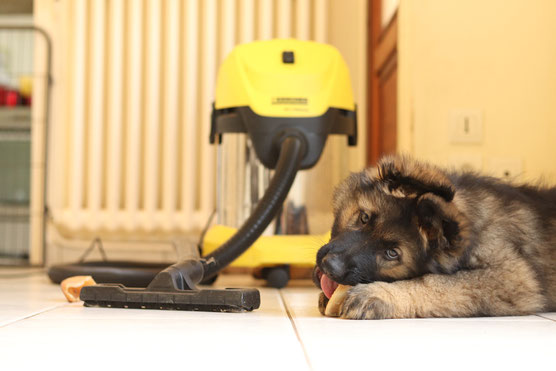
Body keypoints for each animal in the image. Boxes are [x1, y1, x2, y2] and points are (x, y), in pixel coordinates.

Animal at [312, 155, 556, 320]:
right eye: (364, 218)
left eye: (392, 253)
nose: (330, 266)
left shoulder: (514, 277)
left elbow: (438, 283)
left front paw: (380, 295)